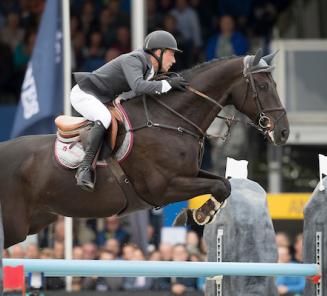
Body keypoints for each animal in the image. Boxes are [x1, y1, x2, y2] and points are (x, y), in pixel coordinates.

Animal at [0, 48, 290, 247]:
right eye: (263, 85)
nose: (283, 132)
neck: (171, 119)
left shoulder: (189, 173)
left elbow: (224, 184)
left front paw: (198, 213)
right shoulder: (164, 187)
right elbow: (220, 186)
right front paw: (200, 214)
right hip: (14, 225)